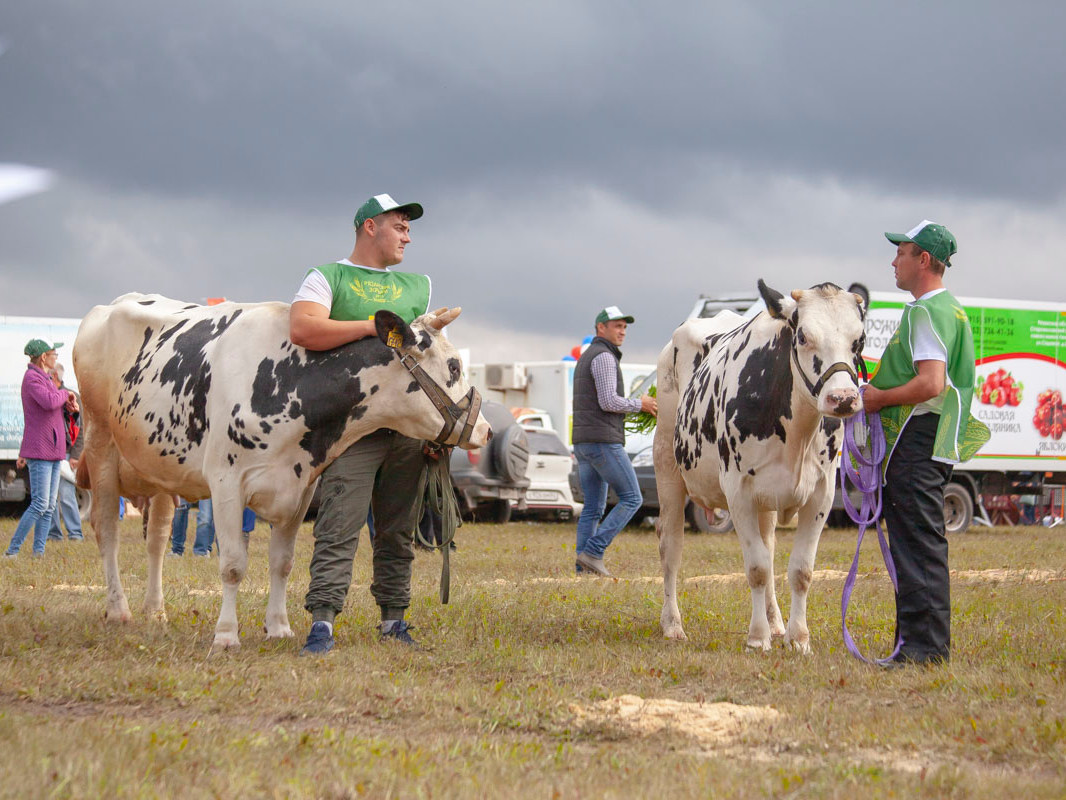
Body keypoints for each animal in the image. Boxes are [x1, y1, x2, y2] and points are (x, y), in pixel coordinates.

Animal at [75, 294, 490, 652]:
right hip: (100, 443)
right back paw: (119, 609)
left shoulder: (300, 487)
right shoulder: (226, 483)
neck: (290, 385)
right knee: (107, 531)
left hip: (160, 470)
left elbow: (283, 563)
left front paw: (278, 627)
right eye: (453, 366)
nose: (485, 430)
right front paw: (226, 635)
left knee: (157, 539)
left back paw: (155, 610)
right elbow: (232, 565)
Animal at [648, 279, 865, 652]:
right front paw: (757, 637)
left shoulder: (821, 494)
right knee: (671, 546)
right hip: (667, 467)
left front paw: (798, 637)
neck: (796, 434)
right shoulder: (739, 493)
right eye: (803, 336)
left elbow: (800, 570)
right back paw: (672, 624)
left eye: (859, 340)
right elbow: (758, 568)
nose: (843, 399)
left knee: (770, 545)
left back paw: (776, 621)